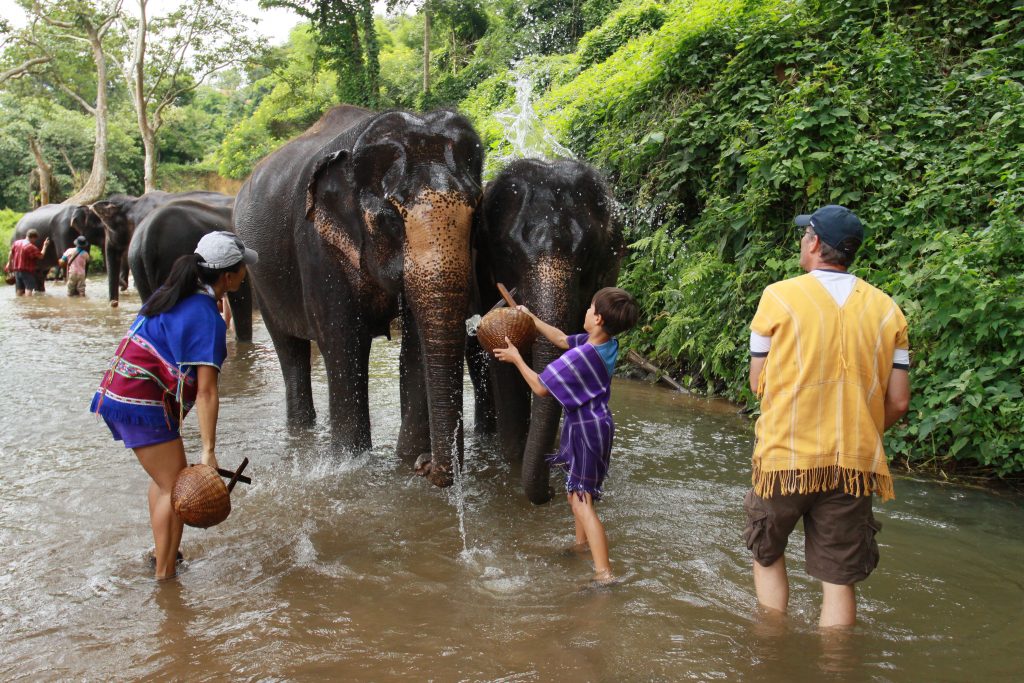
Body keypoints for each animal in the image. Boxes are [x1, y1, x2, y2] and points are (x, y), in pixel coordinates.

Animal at [234, 105, 485, 485]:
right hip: (260, 275)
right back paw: (302, 431)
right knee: (290, 350)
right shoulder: (316, 243)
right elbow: (343, 343)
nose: (427, 465)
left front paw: (406, 457)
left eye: (476, 209)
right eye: (390, 218)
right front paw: (349, 463)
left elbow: (414, 347)